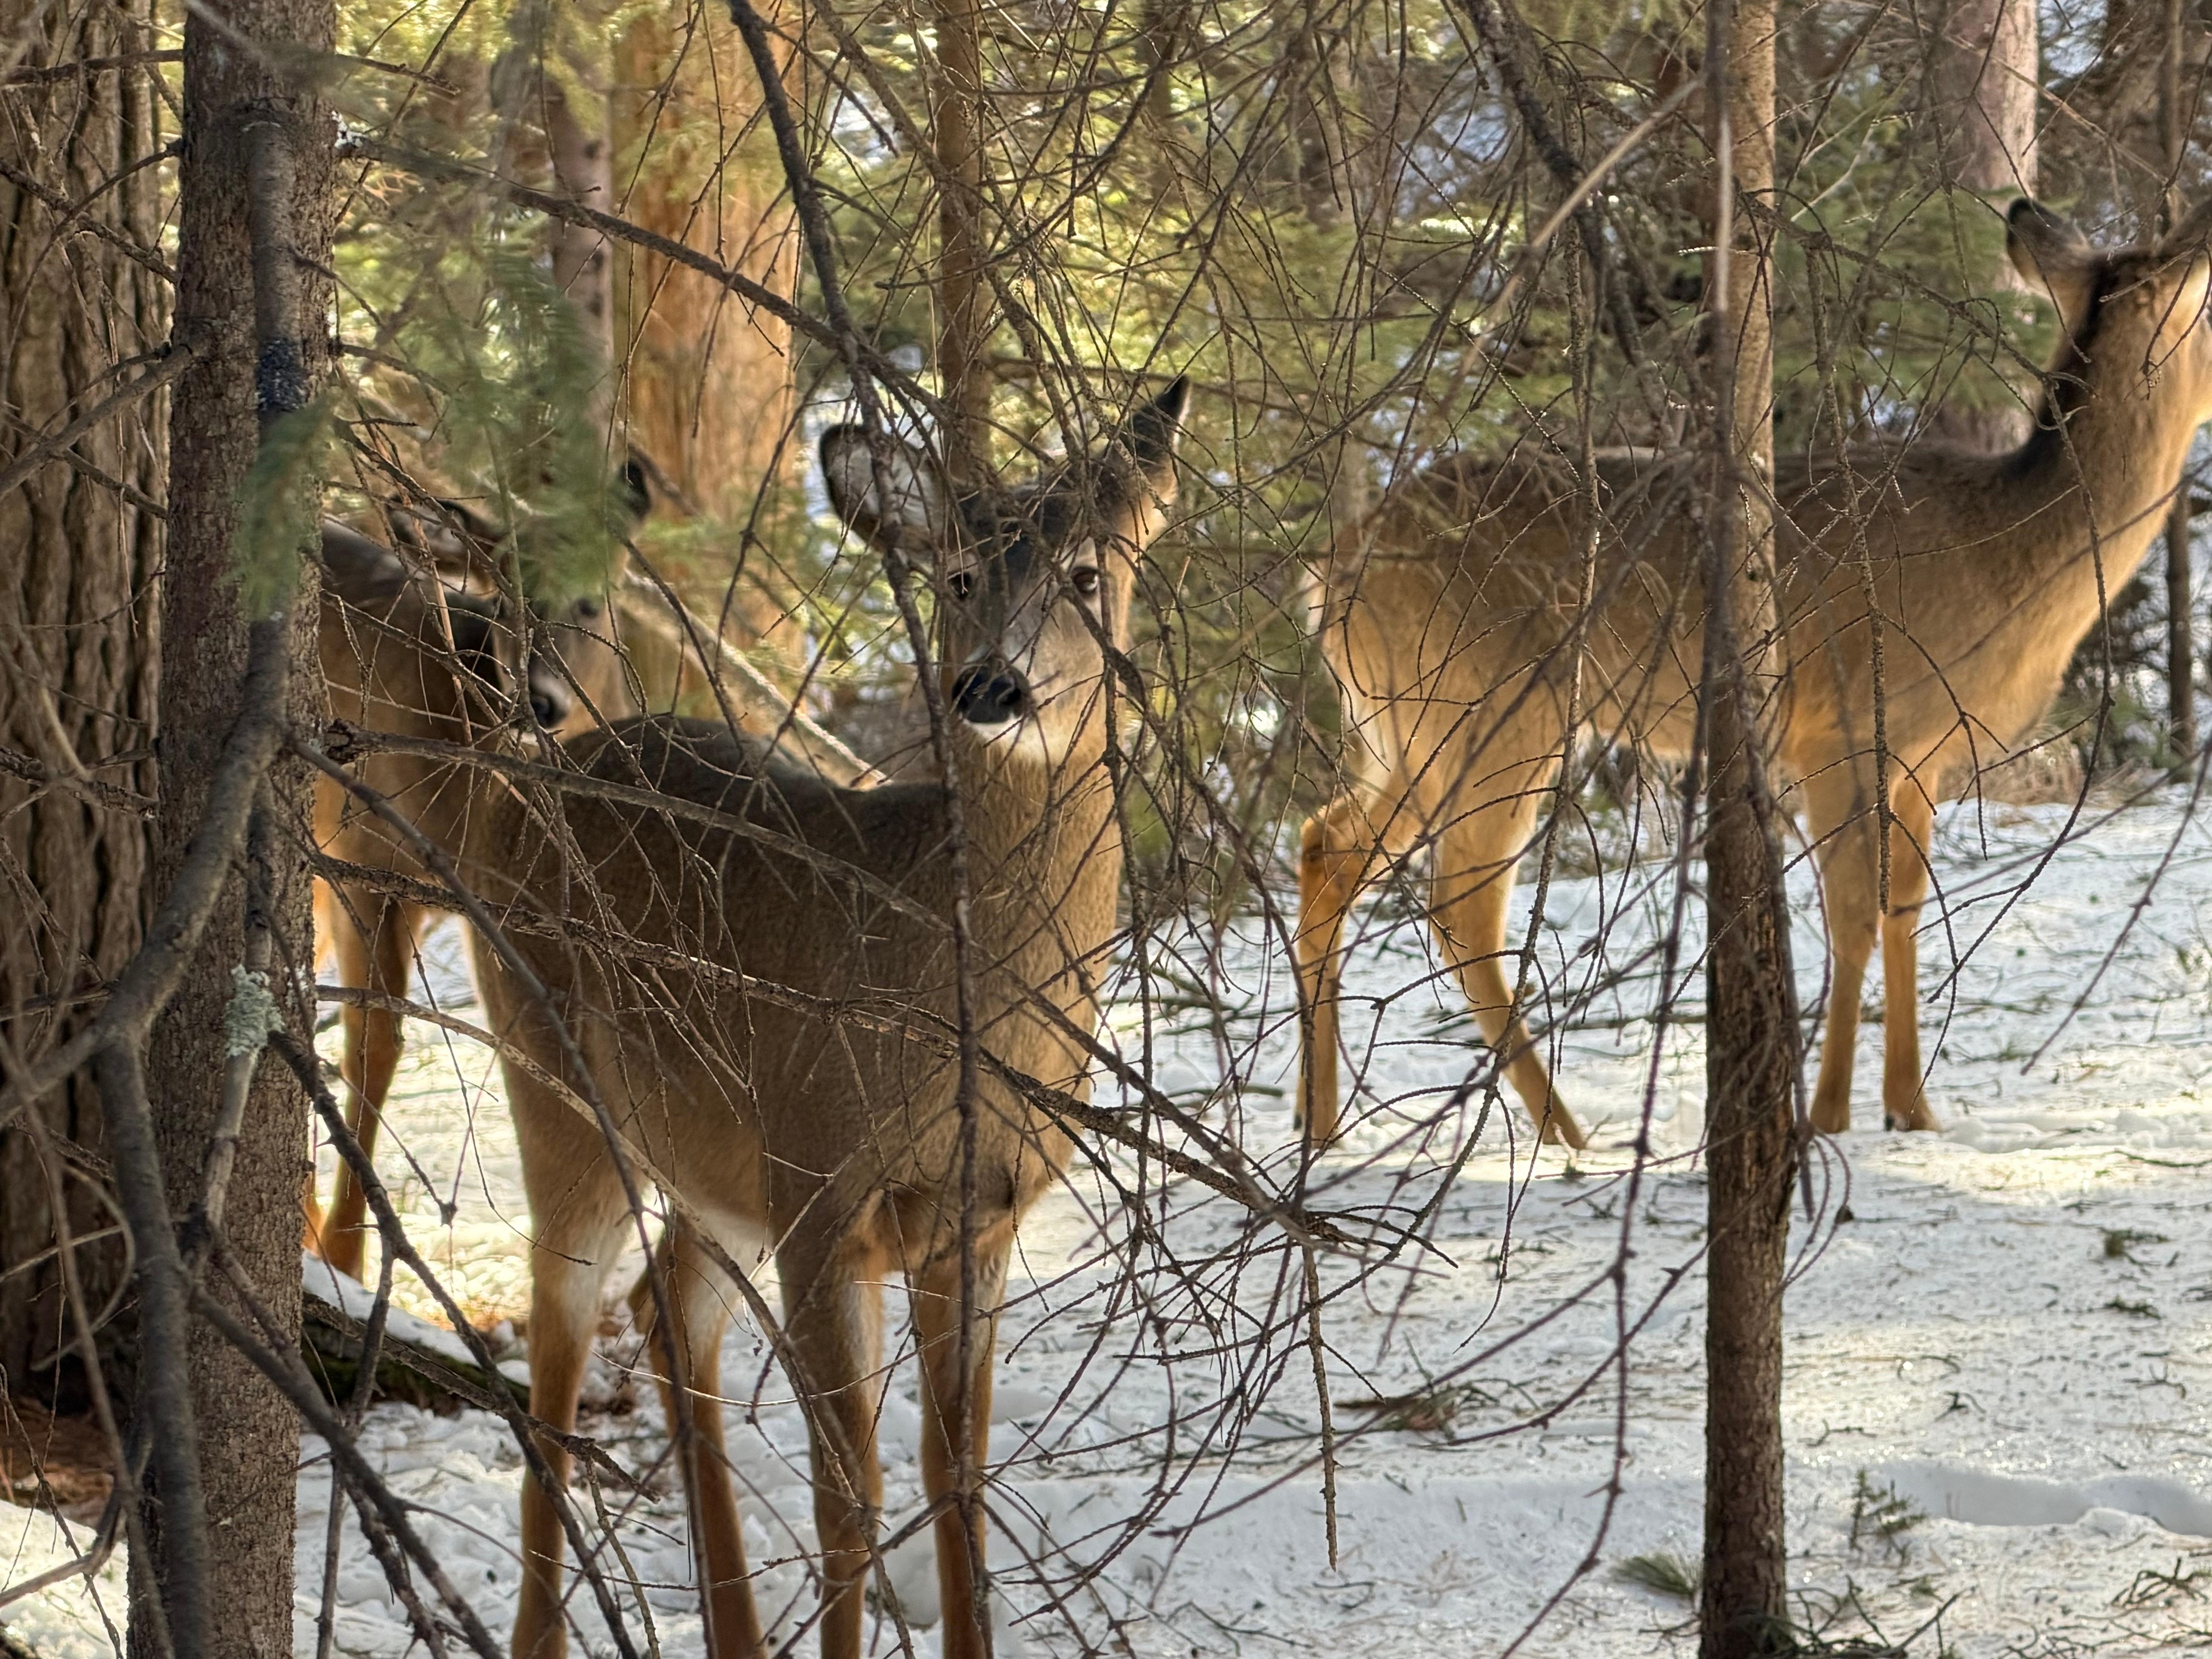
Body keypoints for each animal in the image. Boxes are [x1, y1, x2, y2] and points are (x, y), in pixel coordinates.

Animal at [458, 379, 1187, 1659]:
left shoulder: (976, 1214)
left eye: (1089, 573)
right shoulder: (820, 1180)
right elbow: (850, 1493)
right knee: (557, 1347)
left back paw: (736, 1634)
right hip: (557, 1084)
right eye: (955, 573)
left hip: (715, 1162)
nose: (991, 687)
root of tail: (529, 773)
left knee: (664, 1312)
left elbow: (957, 1477)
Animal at [1296, 198, 2212, 1149]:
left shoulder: (1920, 754)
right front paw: (1829, 1112)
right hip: (1491, 709)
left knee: (1325, 845)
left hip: (1404, 728)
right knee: (1459, 905)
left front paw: (1912, 1107)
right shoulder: (1838, 729)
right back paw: (1565, 1136)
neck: (2004, 558)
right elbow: (1851, 914)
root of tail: (1328, 571)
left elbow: (1904, 909)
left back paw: (1319, 1121)